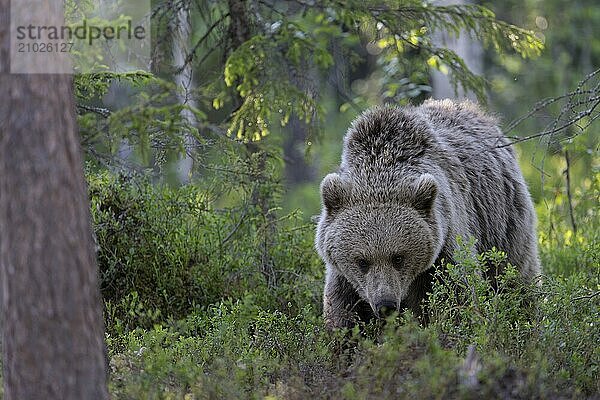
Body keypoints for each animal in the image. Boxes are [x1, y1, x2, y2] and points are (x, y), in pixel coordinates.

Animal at [316, 99, 540, 328]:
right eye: (362, 261)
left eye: (398, 258)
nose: (385, 304)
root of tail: (477, 112)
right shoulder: (344, 277)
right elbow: (343, 310)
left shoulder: (446, 243)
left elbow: (456, 296)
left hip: (502, 222)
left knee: (516, 276)